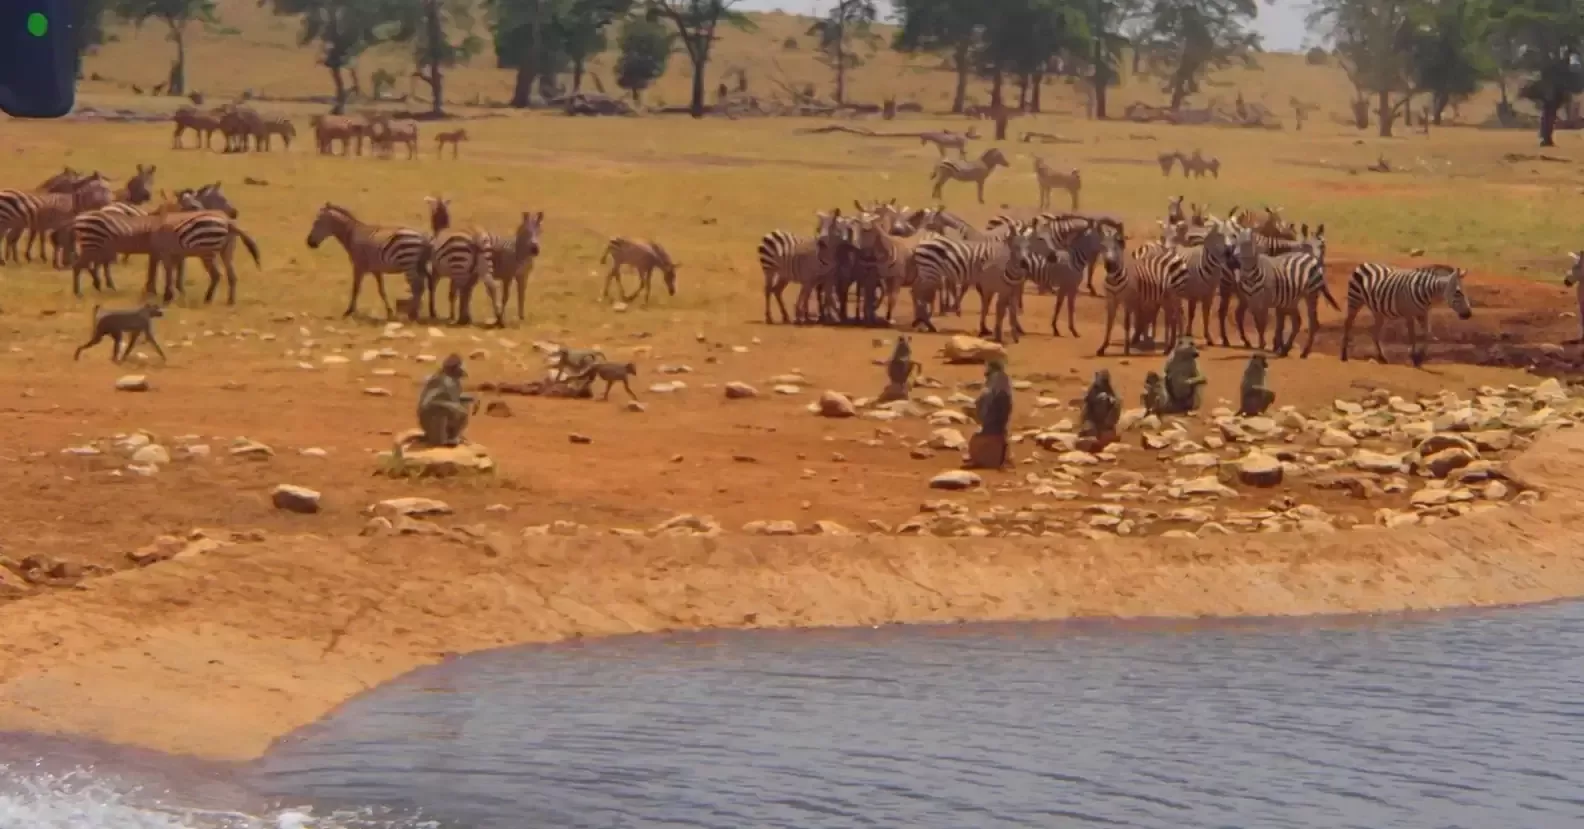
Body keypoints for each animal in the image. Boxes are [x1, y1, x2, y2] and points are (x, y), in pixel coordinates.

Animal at [305, 202, 434, 320]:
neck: (351, 235)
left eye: (316, 222)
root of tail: (423, 237)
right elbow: (381, 291)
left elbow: (356, 288)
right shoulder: (376, 270)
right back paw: (416, 313)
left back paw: (412, 314)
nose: (309, 243)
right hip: (419, 265)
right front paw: (389, 312)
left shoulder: (358, 267)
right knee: (423, 285)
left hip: (408, 263)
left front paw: (349, 311)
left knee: (417, 286)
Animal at [1343, 263, 1476, 366]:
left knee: (1375, 332)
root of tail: (1363, 264)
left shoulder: (1423, 313)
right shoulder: (1409, 314)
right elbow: (1412, 336)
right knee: (1348, 324)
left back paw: (1382, 357)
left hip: (1378, 310)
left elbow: (1428, 334)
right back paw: (1344, 355)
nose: (1468, 314)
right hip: (1354, 300)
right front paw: (1414, 357)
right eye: (1458, 292)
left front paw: (1420, 357)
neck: (1427, 293)